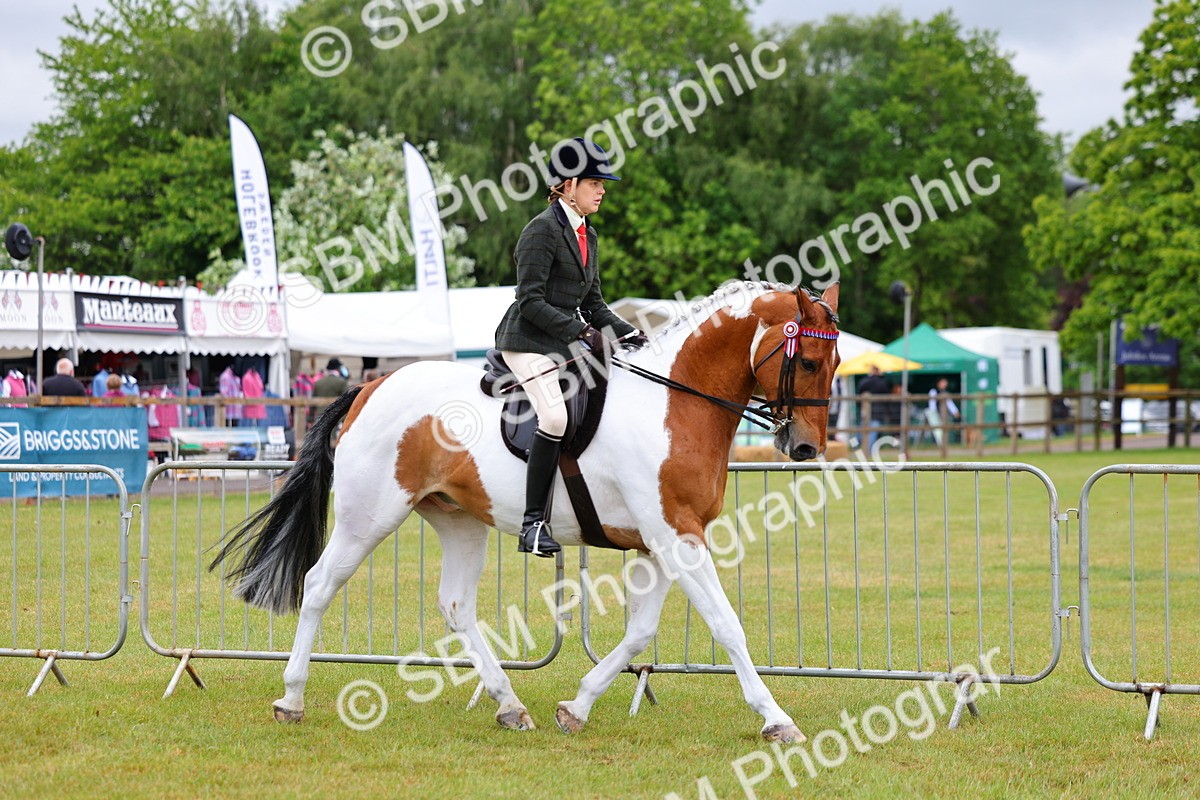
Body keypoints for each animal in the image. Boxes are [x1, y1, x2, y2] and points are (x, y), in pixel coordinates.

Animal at [211, 280, 841, 743]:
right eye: (809, 361)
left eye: (835, 362)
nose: (806, 448)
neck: (673, 402)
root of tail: (372, 387)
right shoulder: (674, 537)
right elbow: (727, 626)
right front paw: (777, 719)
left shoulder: (663, 541)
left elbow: (640, 634)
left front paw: (576, 706)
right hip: (370, 515)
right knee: (320, 584)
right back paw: (292, 697)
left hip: (460, 520)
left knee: (456, 606)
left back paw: (510, 705)